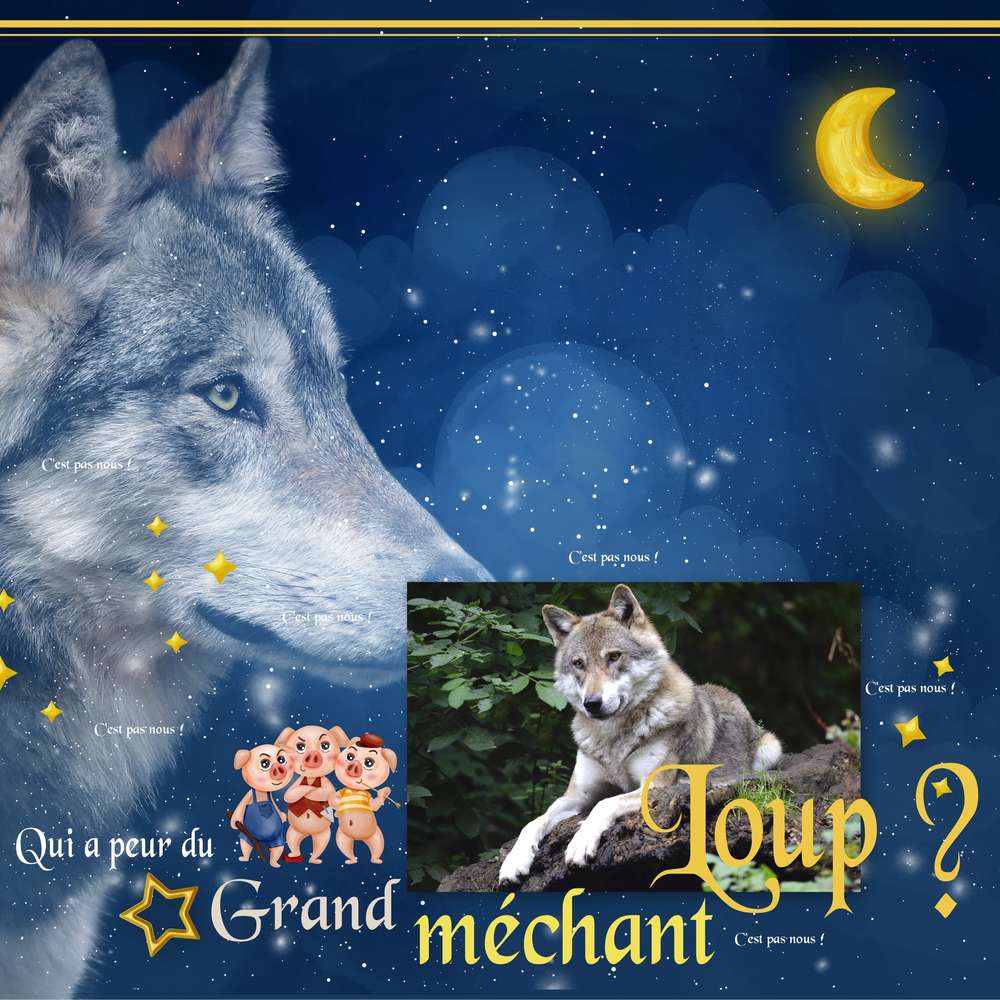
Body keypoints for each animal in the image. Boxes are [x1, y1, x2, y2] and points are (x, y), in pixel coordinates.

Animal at [498, 585, 781, 886]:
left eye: (613, 656)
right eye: (578, 664)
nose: (592, 703)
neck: (613, 740)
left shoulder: (653, 785)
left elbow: (604, 804)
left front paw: (580, 843)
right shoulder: (576, 795)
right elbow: (534, 821)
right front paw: (514, 862)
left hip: (770, 749)